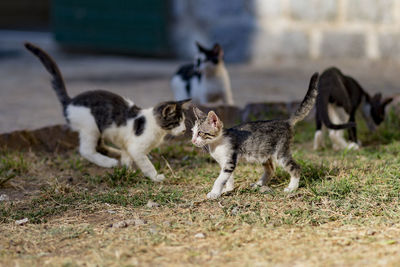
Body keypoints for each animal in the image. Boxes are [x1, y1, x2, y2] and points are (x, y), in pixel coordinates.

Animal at [25, 43, 191, 183]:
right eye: (177, 122)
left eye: (183, 121)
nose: (184, 130)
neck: (154, 126)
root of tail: (70, 101)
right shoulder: (136, 148)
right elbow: (146, 163)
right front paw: (155, 177)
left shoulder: (128, 144)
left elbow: (127, 157)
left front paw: (127, 170)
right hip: (90, 126)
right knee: (86, 150)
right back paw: (108, 162)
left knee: (100, 146)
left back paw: (114, 153)